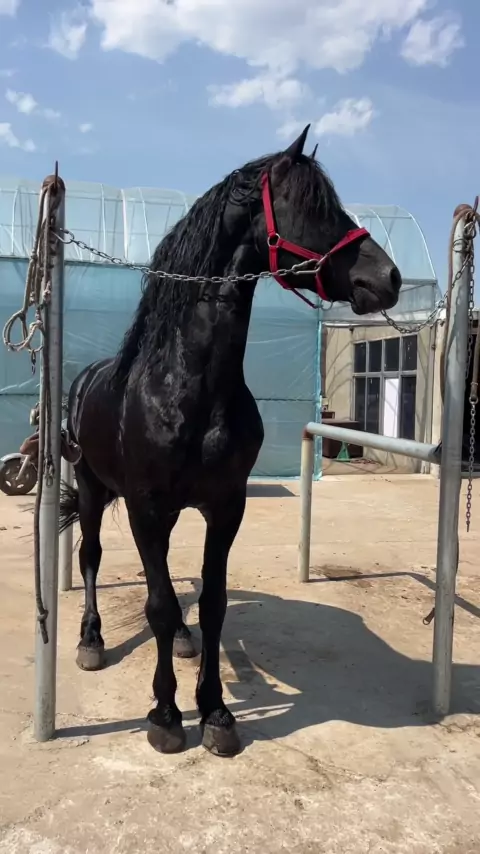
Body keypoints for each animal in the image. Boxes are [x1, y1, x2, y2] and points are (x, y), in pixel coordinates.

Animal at [59, 125, 401, 757]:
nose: (386, 278)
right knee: (91, 557)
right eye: (312, 207)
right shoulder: (144, 506)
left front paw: (216, 711)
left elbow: (212, 604)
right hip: (94, 491)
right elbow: (157, 603)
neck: (189, 389)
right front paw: (167, 716)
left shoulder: (225, 507)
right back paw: (91, 640)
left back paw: (183, 639)